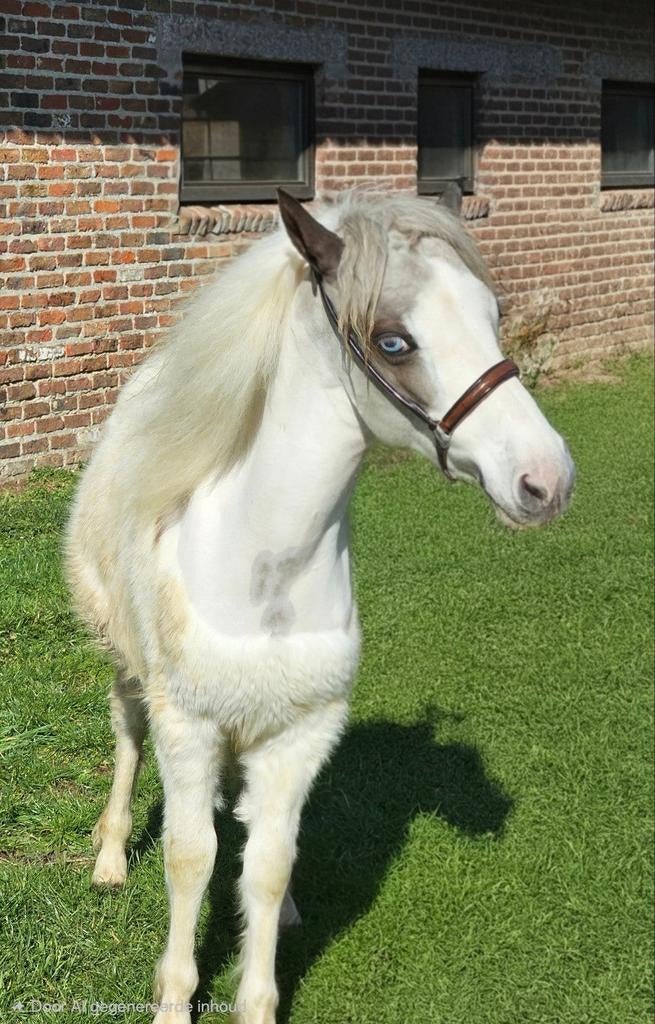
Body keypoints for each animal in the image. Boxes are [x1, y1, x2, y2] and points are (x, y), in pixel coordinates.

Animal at [65, 185, 575, 1024]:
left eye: (491, 315)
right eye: (393, 341)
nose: (545, 480)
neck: (264, 569)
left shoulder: (300, 734)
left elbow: (268, 863)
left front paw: (260, 978)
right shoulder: (188, 727)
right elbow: (189, 857)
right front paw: (173, 997)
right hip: (128, 669)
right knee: (126, 735)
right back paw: (108, 857)